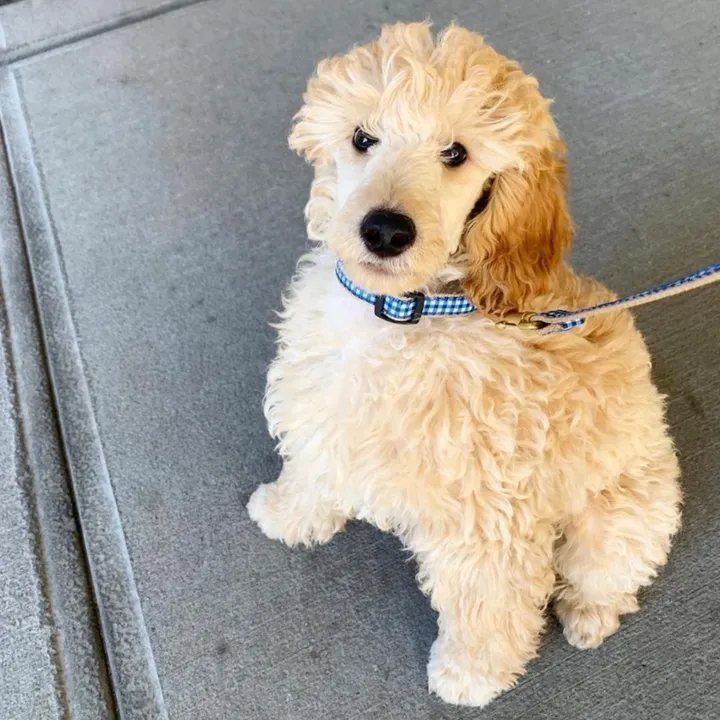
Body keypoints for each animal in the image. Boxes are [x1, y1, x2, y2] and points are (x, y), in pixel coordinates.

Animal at [248, 23, 680, 708]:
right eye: (362, 138)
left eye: (455, 153)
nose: (385, 230)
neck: (405, 313)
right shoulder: (326, 413)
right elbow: (315, 468)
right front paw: (290, 514)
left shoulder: (488, 521)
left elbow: (488, 603)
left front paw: (471, 675)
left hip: (620, 518)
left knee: (606, 573)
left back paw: (589, 613)